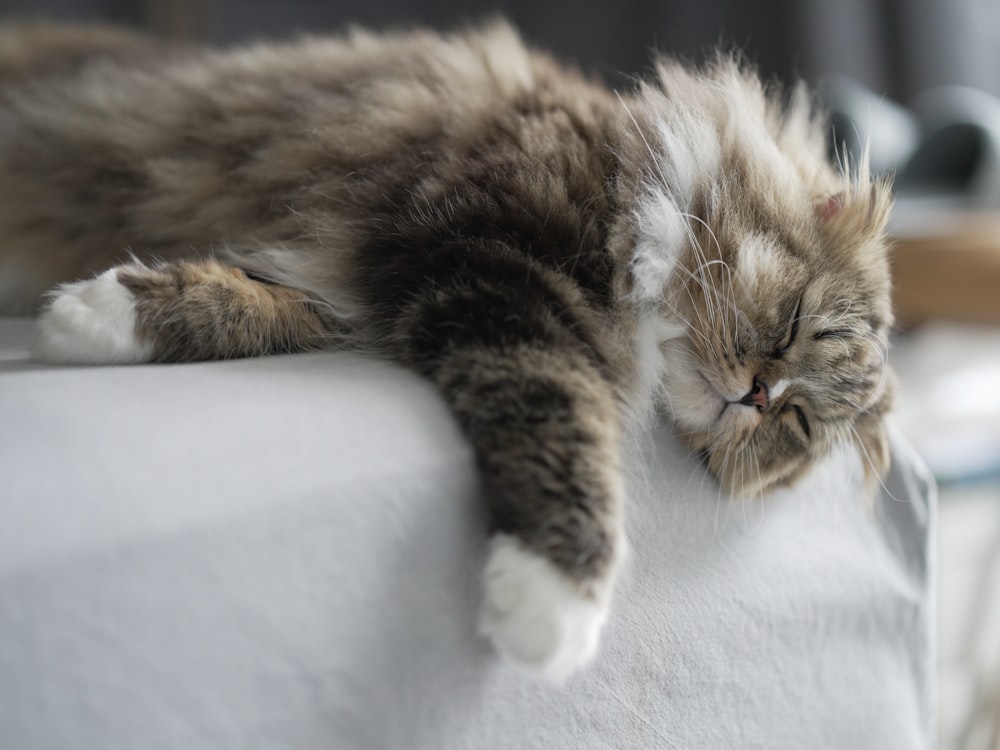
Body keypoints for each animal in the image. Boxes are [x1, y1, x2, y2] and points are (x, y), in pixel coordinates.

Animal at [0, 19, 896, 688]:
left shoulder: (376, 288)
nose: (760, 397)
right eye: (792, 325)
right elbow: (559, 401)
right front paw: (552, 606)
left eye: (798, 425)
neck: (624, 164)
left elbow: (248, 303)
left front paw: (91, 316)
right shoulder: (491, 263)